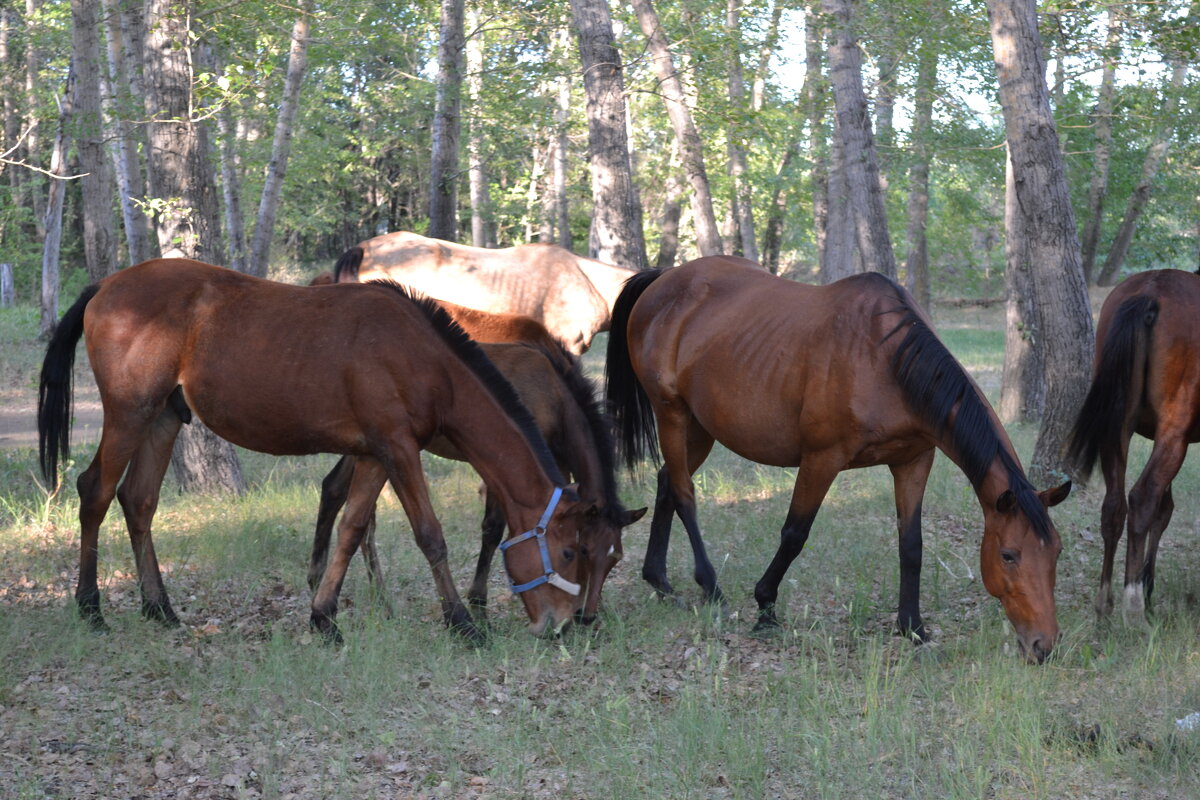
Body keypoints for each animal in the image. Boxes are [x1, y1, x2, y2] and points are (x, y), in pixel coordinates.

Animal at [37, 260, 600, 642]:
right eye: (570, 552)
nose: (564, 625)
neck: (423, 357)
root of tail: (107, 285)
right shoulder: (399, 450)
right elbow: (430, 535)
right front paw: (462, 621)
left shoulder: (375, 454)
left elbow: (350, 530)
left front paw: (324, 616)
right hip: (130, 414)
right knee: (95, 493)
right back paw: (90, 608)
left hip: (162, 419)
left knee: (138, 502)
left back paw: (160, 609)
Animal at [312, 340, 648, 623]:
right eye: (584, 551)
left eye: (615, 558)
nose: (587, 616)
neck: (553, 397)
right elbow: (493, 530)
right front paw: (478, 601)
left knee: (334, 489)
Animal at [609, 256, 1070, 662]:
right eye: (1008, 555)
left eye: (1057, 552)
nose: (1043, 646)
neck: (886, 360)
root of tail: (664, 279)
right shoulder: (821, 459)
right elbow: (794, 534)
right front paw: (765, 607)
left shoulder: (914, 462)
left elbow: (912, 545)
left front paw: (912, 626)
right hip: (671, 413)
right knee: (684, 493)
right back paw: (710, 587)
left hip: (701, 426)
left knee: (667, 483)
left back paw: (659, 581)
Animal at [1070, 268, 1200, 623]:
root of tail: (1151, 290)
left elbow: (1164, 510)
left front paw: (1149, 585)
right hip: (1173, 433)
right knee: (1142, 499)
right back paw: (1133, 605)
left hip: (1119, 428)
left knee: (1115, 506)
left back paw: (1106, 602)